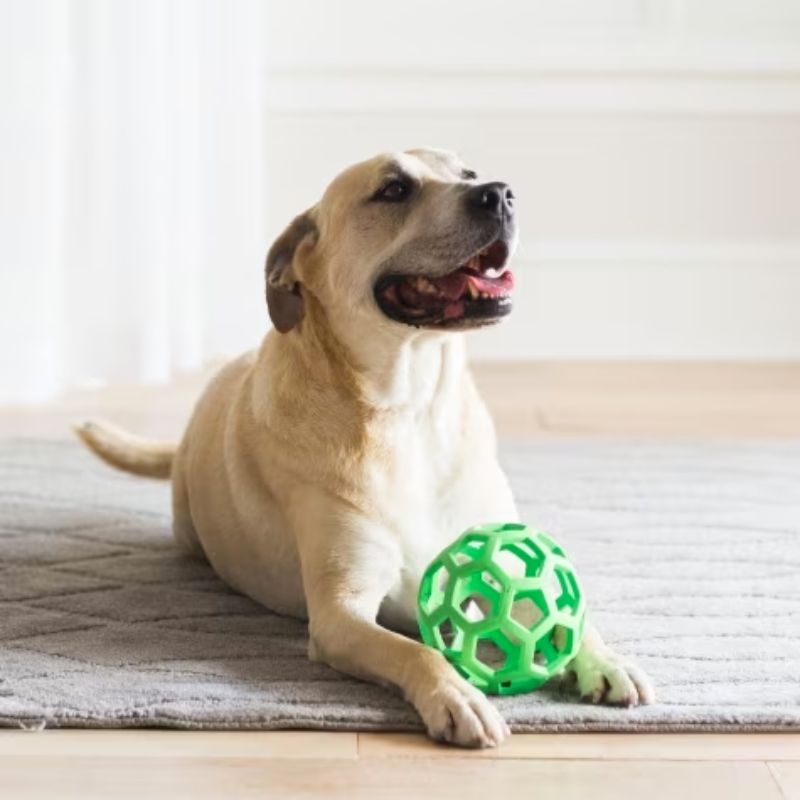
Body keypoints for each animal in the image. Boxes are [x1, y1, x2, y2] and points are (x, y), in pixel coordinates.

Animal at [75, 147, 652, 748]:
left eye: (467, 174)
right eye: (393, 189)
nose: (500, 193)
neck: (410, 406)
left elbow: (569, 610)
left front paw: (603, 659)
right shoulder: (339, 615)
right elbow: (417, 652)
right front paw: (457, 695)